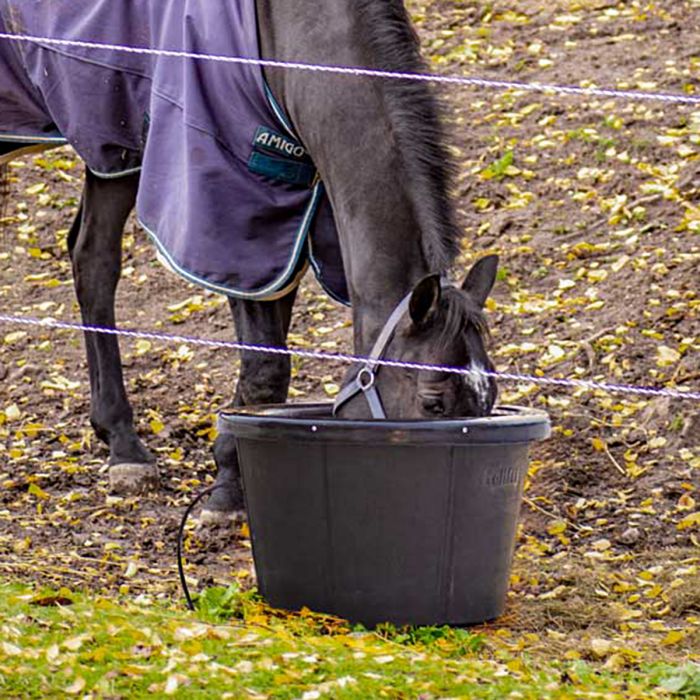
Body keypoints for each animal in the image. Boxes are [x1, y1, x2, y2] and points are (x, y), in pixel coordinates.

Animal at [0, 0, 498, 520]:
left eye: (490, 398)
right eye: (433, 403)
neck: (288, 32)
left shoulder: (292, 218)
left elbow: (268, 362)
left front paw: (232, 474)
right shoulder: (240, 213)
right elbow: (265, 370)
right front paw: (225, 493)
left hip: (113, 148)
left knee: (92, 259)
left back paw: (122, 443)